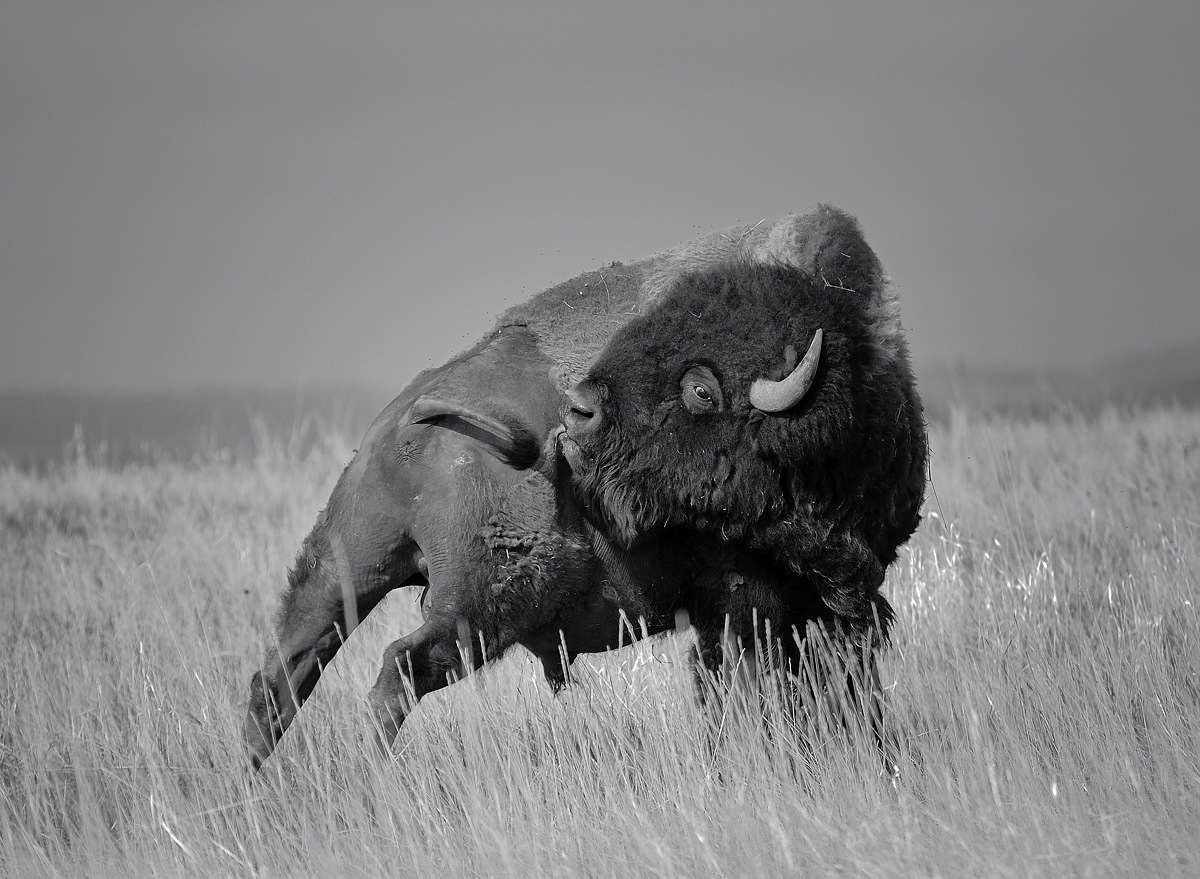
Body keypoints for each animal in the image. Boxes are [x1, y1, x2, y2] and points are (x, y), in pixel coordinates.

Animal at [243, 206, 925, 769]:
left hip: (350, 563)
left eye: (700, 390)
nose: (580, 412)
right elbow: (752, 682)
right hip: (484, 604)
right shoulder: (752, 601)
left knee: (283, 674)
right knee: (398, 670)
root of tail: (409, 417)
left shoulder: (830, 601)